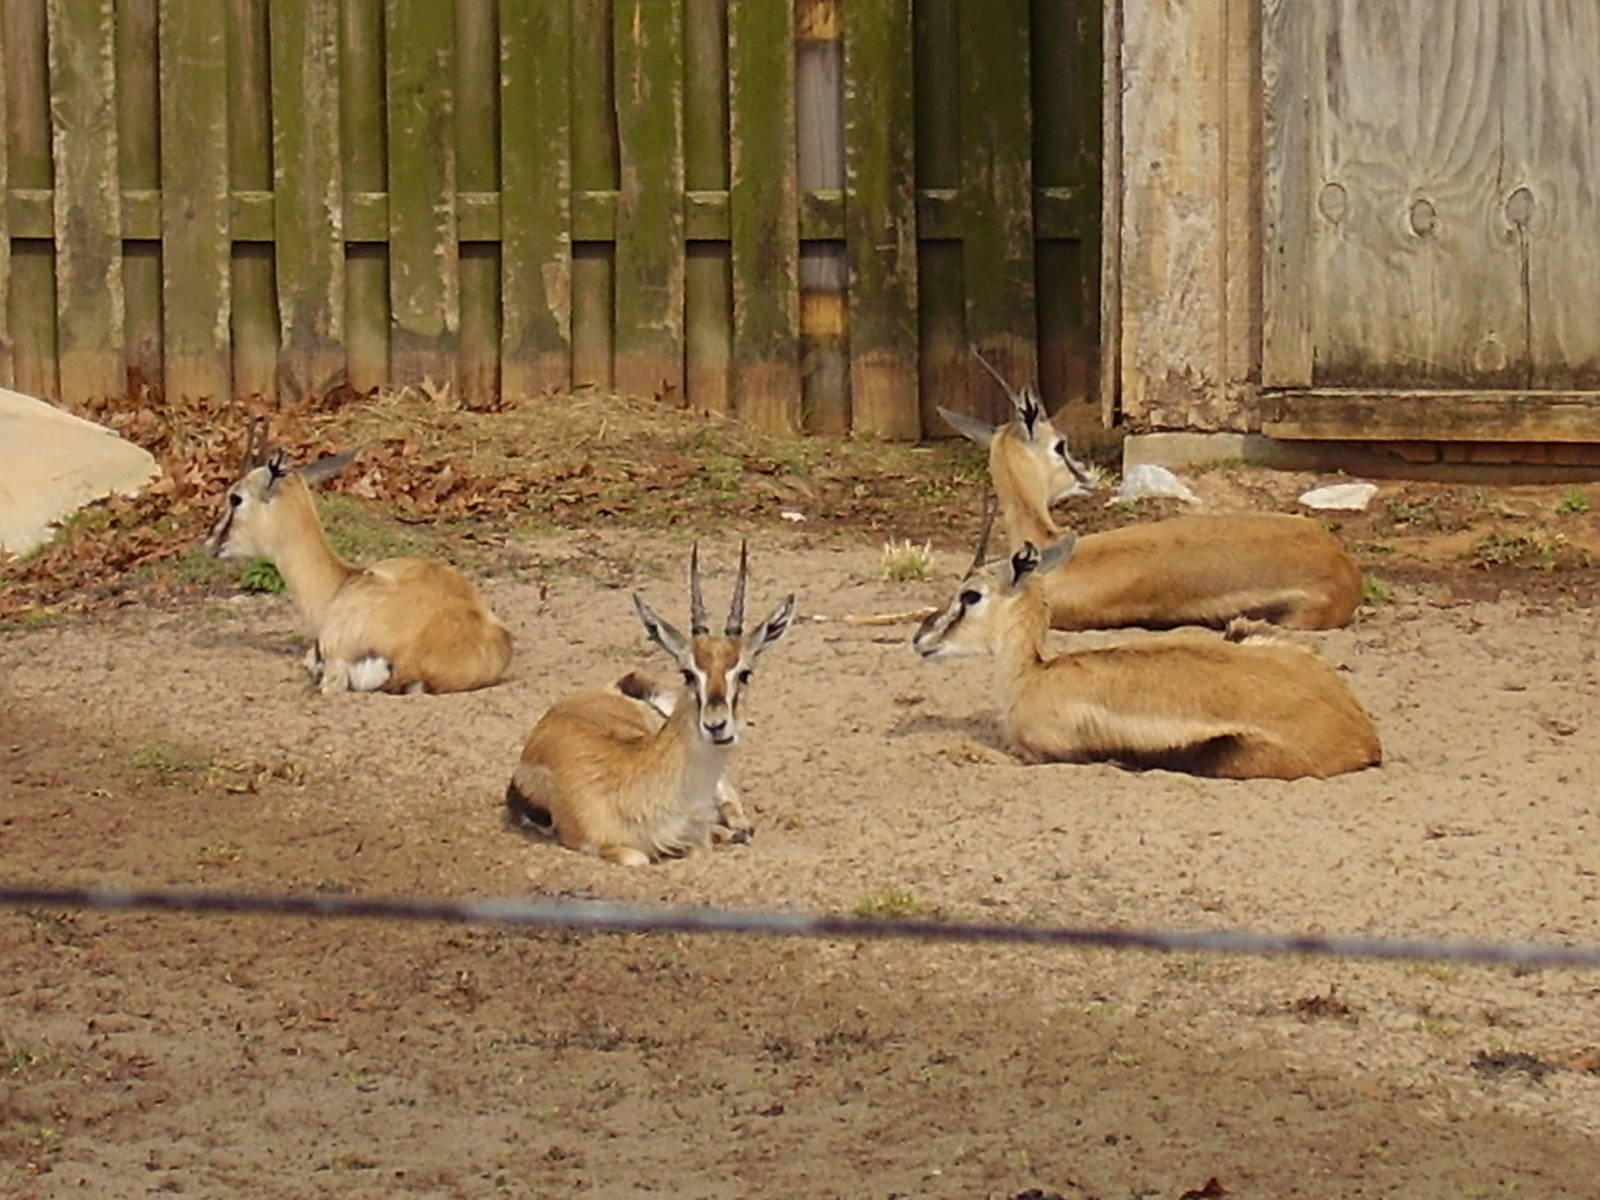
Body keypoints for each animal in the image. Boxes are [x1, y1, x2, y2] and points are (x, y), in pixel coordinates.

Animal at [505, 542, 795, 866]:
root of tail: (611, 687)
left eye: (744, 673)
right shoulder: (591, 843)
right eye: (688, 673)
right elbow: (640, 857)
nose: (716, 725)